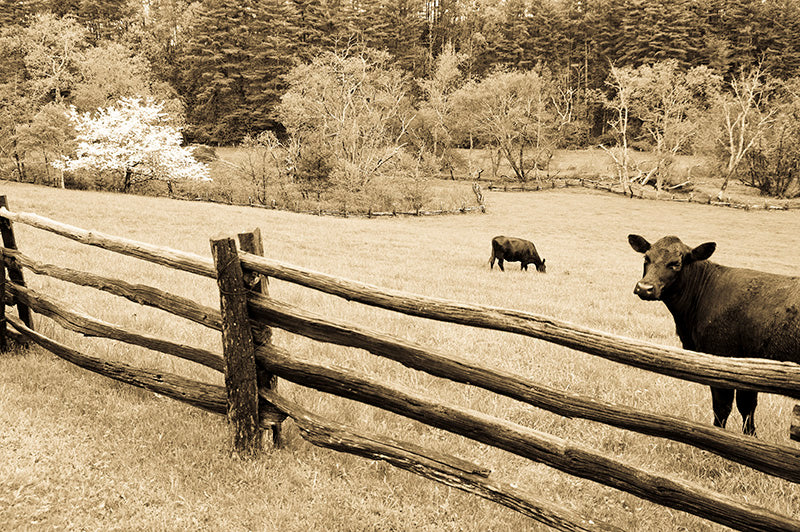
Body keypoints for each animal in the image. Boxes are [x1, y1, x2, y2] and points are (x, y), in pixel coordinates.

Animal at [628, 235, 800, 434]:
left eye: (676, 264)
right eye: (646, 258)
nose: (644, 287)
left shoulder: (722, 361)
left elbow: (722, 408)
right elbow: (747, 409)